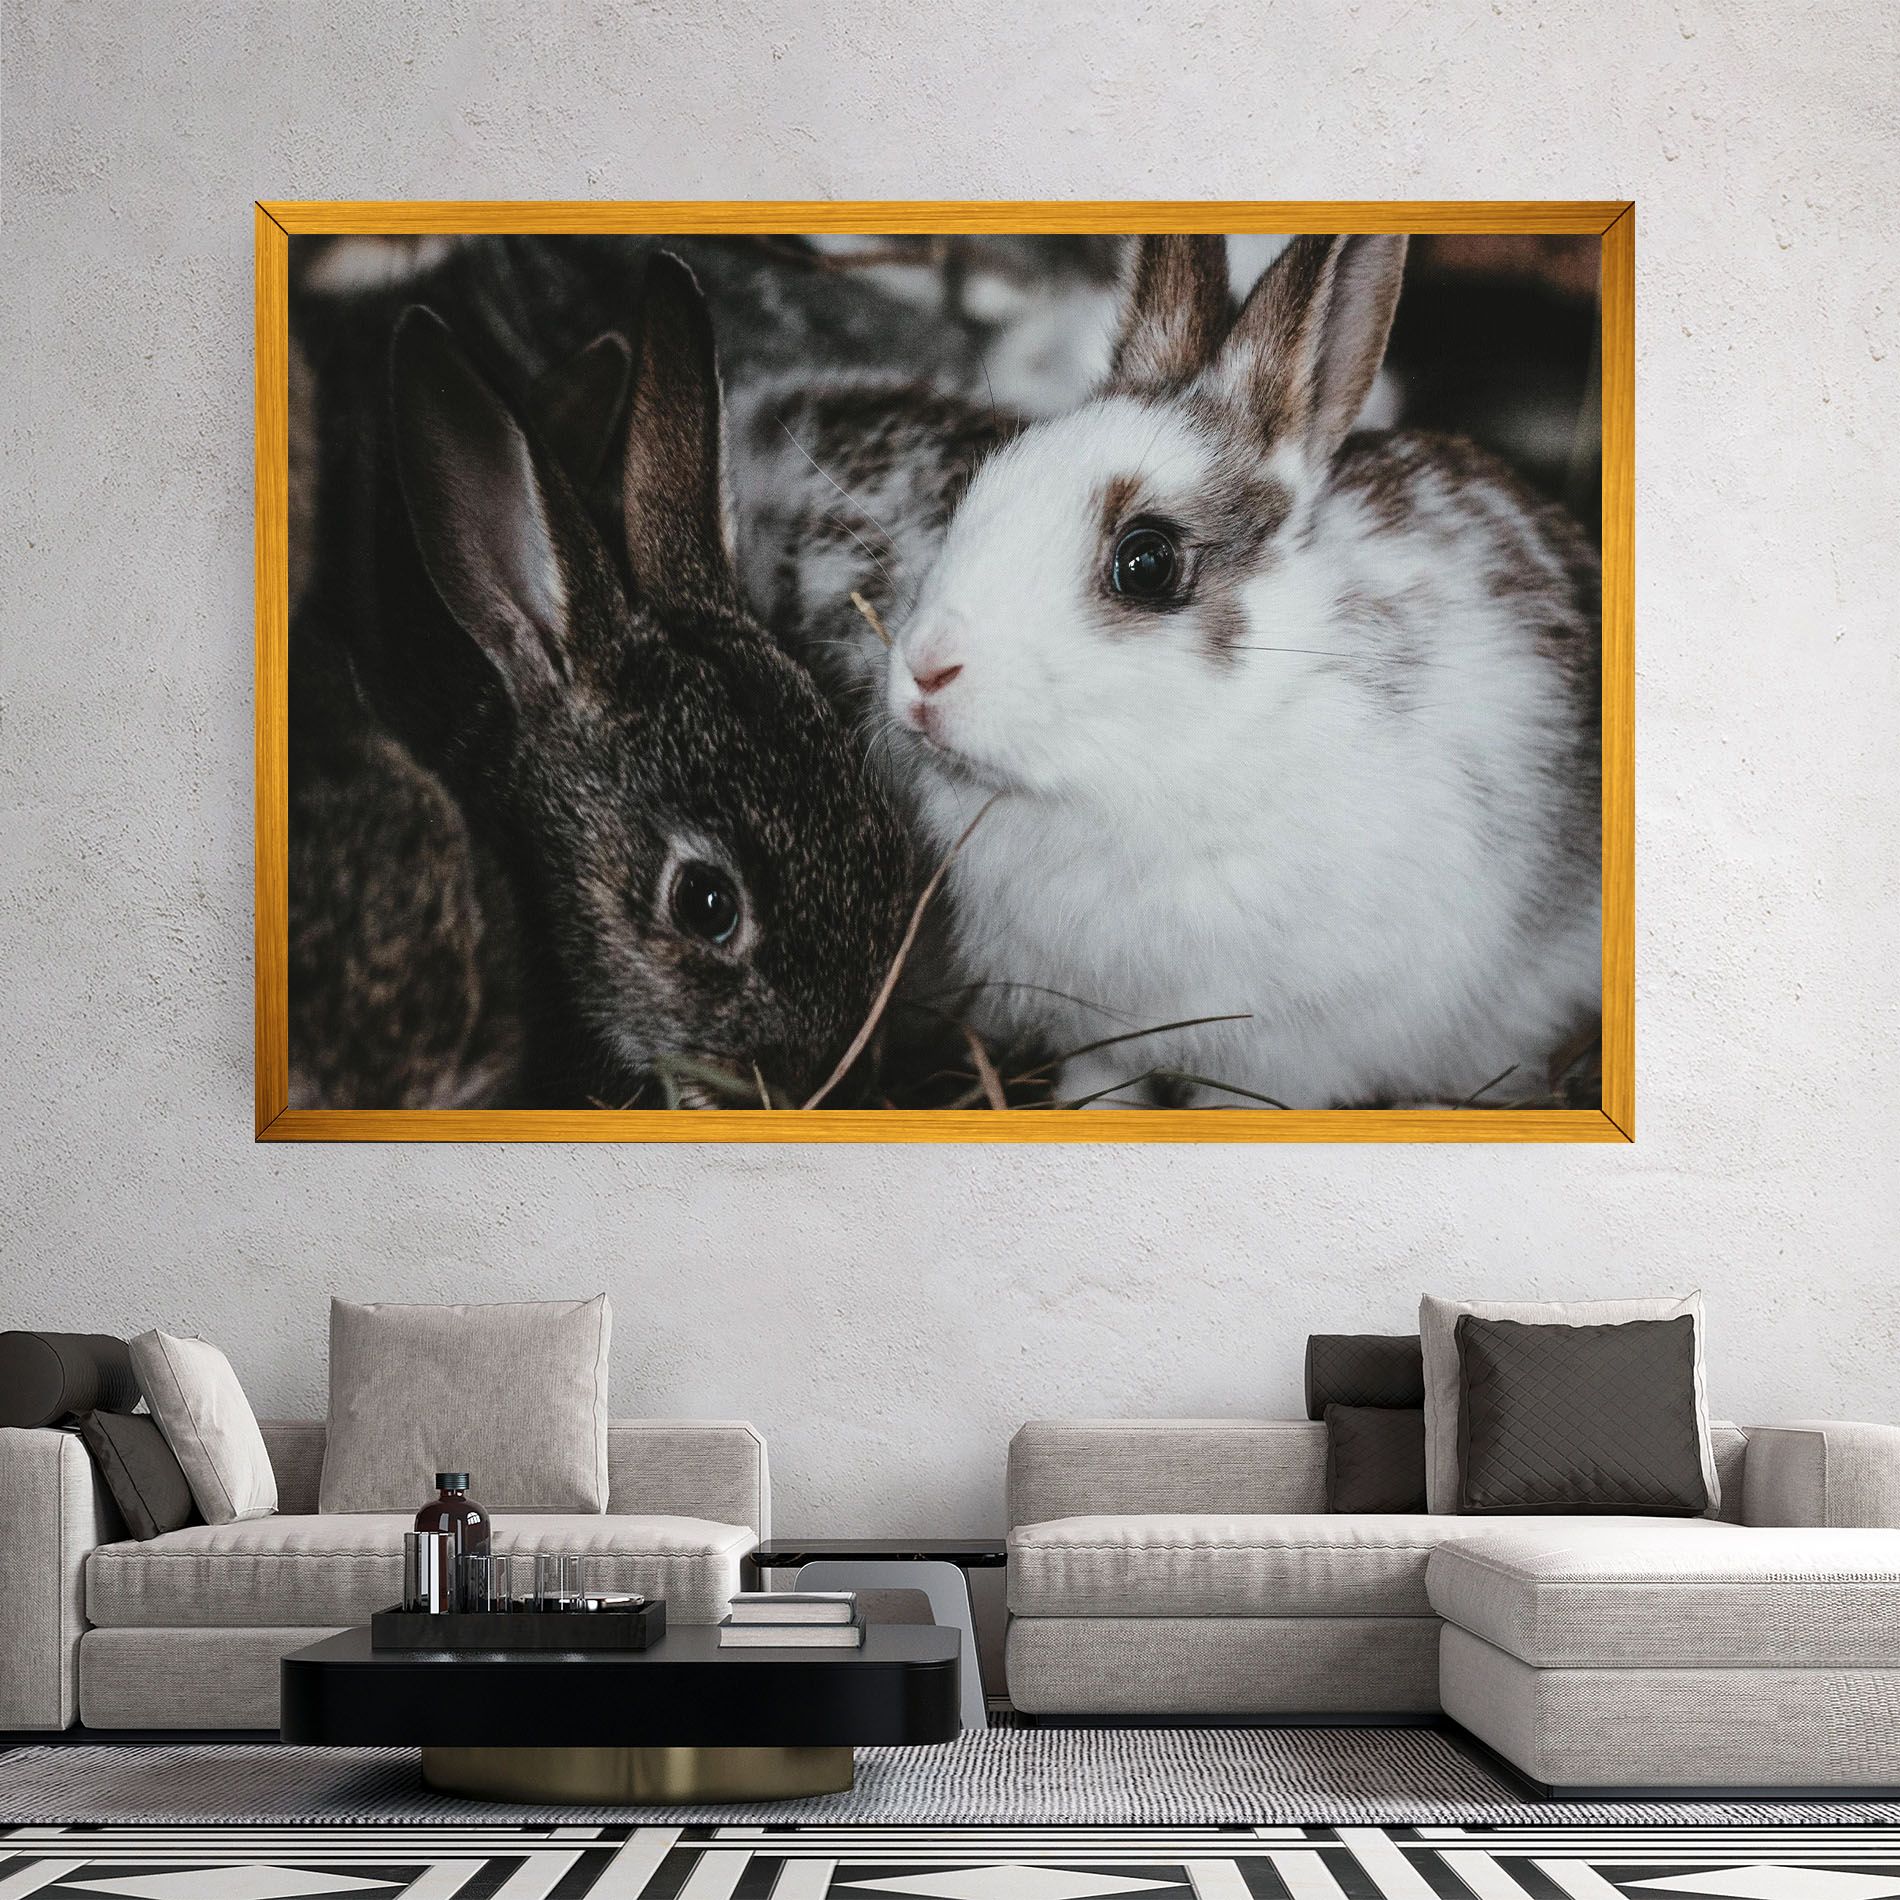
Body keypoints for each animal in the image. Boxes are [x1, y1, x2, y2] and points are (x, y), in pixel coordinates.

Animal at [877, 233, 1603, 1110]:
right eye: (981, 485)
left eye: (1146, 562)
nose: (926, 670)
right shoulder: (1100, 1023)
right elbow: (1103, 1078)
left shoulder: (1292, 1046)